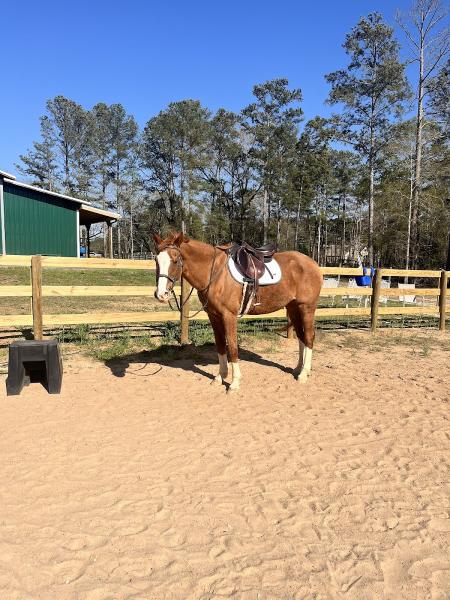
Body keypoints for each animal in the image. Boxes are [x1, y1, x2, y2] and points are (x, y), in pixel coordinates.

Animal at [155, 232, 324, 392]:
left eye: (175, 260)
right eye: (156, 260)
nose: (161, 294)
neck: (214, 272)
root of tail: (313, 264)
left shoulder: (229, 316)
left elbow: (232, 347)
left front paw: (234, 383)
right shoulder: (214, 316)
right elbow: (220, 345)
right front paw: (220, 377)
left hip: (307, 308)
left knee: (309, 337)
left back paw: (304, 374)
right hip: (293, 308)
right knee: (301, 338)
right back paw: (298, 369)